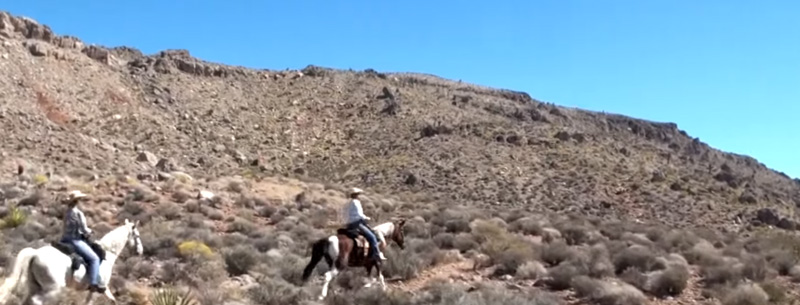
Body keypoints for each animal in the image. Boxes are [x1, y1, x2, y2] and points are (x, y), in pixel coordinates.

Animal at [0, 218, 144, 304]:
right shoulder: (100, 288)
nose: (140, 251)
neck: (107, 253)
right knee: (37, 301)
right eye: (137, 235)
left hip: (35, 286)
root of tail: (35, 253)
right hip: (53, 289)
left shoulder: (98, 290)